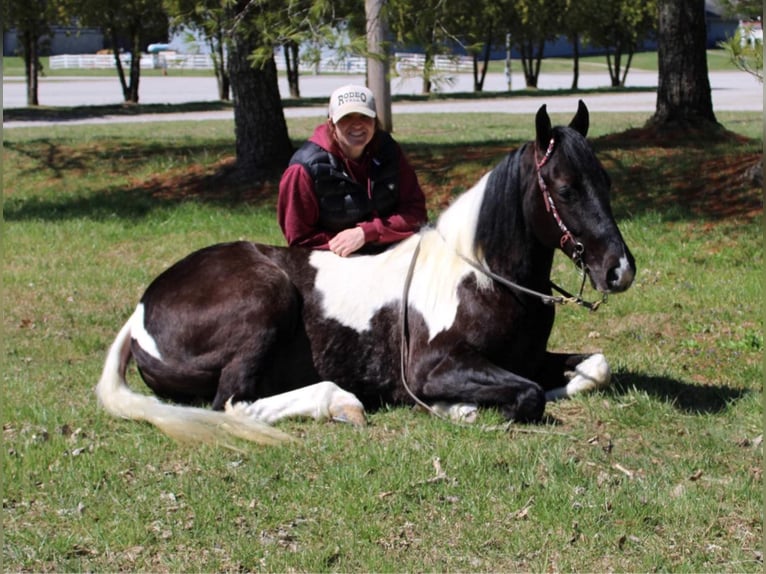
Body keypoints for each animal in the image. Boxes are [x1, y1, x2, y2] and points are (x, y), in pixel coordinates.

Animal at [96, 101, 636, 448]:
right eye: (564, 189)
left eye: (607, 182)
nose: (619, 270)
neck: (480, 277)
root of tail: (142, 310)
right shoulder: (433, 366)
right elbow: (526, 395)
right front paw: (456, 407)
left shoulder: (529, 357)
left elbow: (594, 368)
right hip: (265, 299)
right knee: (233, 404)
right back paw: (339, 401)